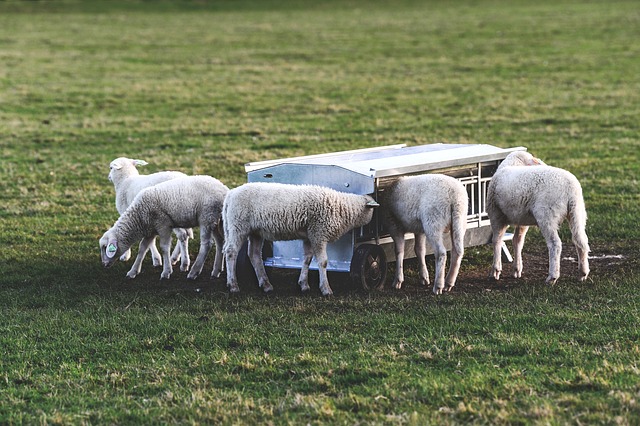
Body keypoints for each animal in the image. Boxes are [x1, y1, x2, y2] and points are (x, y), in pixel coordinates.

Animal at [99, 175, 229, 282]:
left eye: (106, 247)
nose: (104, 264)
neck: (138, 217)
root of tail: (224, 190)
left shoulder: (163, 225)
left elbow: (164, 248)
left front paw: (166, 272)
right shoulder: (150, 230)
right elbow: (142, 248)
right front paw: (133, 272)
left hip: (206, 217)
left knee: (207, 244)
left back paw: (194, 272)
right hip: (215, 220)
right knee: (220, 242)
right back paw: (216, 270)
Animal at [222, 183, 378, 296]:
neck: (340, 208)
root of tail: (230, 195)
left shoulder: (309, 235)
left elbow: (307, 259)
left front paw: (304, 284)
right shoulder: (318, 233)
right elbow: (323, 262)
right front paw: (326, 289)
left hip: (255, 232)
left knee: (254, 255)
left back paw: (266, 285)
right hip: (238, 226)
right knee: (231, 252)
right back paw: (233, 285)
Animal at [488, 151, 592, 284]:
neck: (513, 164)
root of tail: (571, 190)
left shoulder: (496, 214)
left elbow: (497, 240)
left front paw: (496, 270)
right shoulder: (522, 219)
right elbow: (517, 241)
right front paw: (517, 269)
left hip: (547, 215)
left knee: (555, 244)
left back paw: (552, 277)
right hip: (577, 212)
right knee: (581, 241)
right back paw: (583, 273)